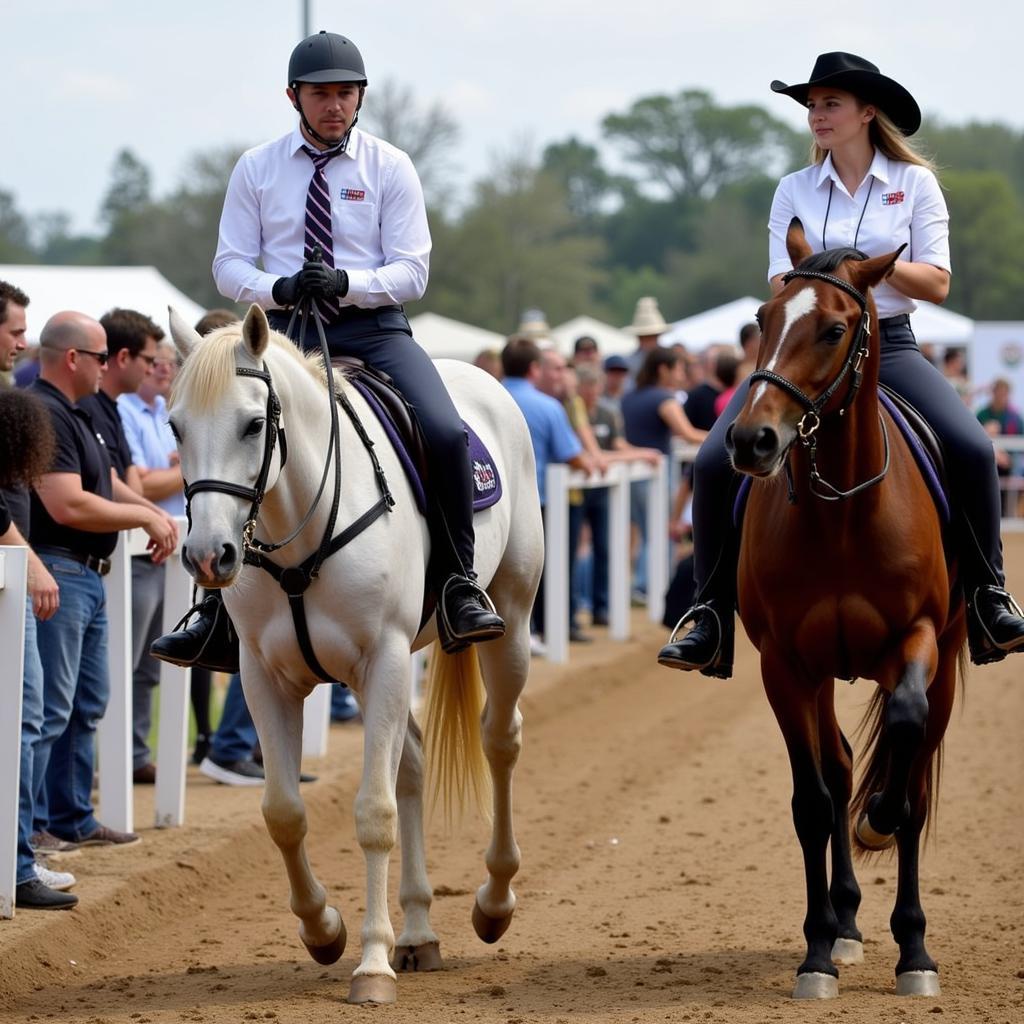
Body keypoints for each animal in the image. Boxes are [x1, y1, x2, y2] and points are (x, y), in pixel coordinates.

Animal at [169, 305, 544, 1007]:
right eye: (175, 426)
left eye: (254, 423)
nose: (209, 556)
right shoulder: (265, 677)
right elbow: (283, 813)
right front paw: (324, 930)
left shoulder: (385, 661)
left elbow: (374, 814)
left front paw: (371, 966)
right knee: (415, 764)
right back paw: (419, 933)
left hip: (508, 622)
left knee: (500, 741)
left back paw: (494, 901)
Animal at [733, 220, 962, 995]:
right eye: (762, 319)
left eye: (834, 330)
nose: (752, 440)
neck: (844, 514)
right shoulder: (785, 664)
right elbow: (813, 801)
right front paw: (816, 954)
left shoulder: (919, 640)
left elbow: (905, 756)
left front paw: (914, 948)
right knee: (835, 769)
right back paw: (845, 923)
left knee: (913, 765)